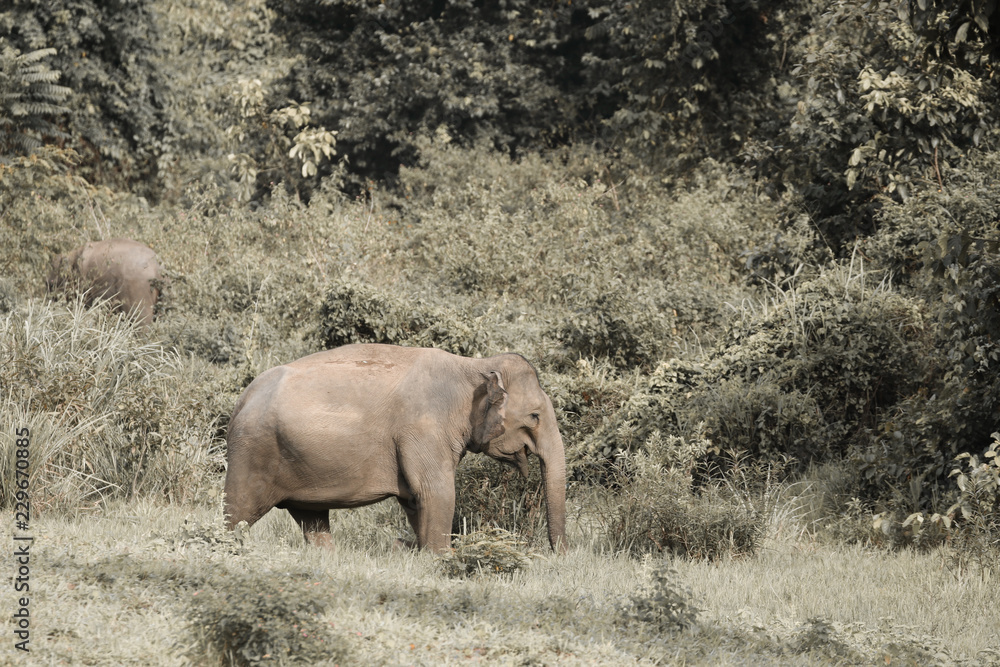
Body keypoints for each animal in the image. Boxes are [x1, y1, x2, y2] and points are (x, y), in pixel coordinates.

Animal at [228, 344, 572, 552]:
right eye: (535, 416)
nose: (558, 555)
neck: (474, 366)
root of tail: (243, 398)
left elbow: (415, 500)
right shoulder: (423, 429)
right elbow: (437, 492)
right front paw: (440, 558)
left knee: (312, 518)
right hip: (252, 454)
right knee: (237, 514)